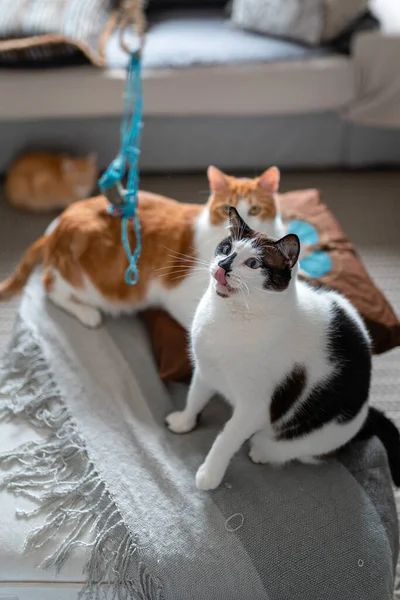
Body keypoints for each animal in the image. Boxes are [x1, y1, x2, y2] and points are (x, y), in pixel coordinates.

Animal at [0, 165, 288, 328]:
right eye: (226, 209)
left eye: (255, 209)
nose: (244, 226)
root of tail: (55, 228)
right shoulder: (178, 295)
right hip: (81, 279)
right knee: (50, 287)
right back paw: (87, 313)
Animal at [166, 209, 400, 490]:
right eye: (225, 249)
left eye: (253, 264)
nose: (223, 266)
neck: (231, 316)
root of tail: (365, 415)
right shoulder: (205, 370)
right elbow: (194, 398)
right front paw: (184, 422)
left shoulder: (255, 406)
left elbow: (226, 438)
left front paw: (209, 475)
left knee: (304, 452)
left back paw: (262, 452)